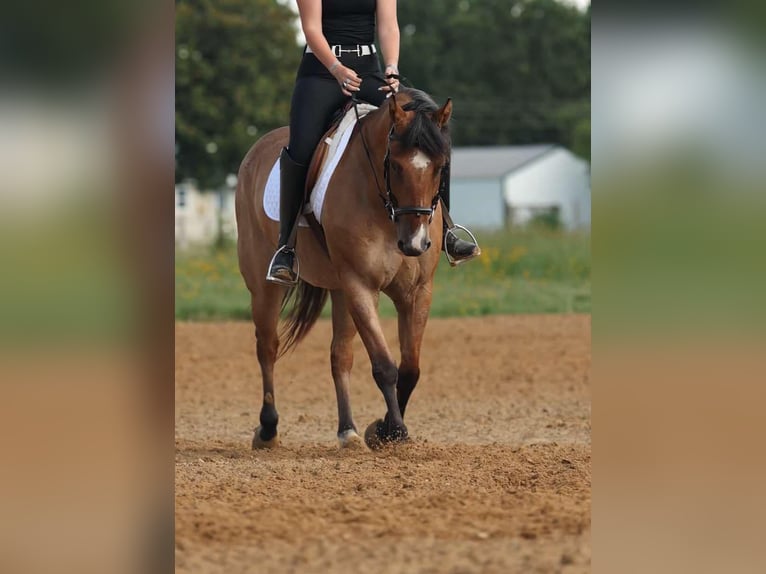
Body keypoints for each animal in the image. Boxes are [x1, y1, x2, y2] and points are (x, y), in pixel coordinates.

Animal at [235, 87, 452, 449]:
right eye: (395, 165)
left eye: (440, 167)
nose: (414, 243)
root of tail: (255, 150)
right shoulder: (360, 285)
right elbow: (384, 365)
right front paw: (393, 431)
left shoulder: (417, 291)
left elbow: (410, 368)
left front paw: (382, 429)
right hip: (265, 286)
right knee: (267, 347)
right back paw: (267, 429)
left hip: (338, 291)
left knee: (340, 356)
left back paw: (347, 430)